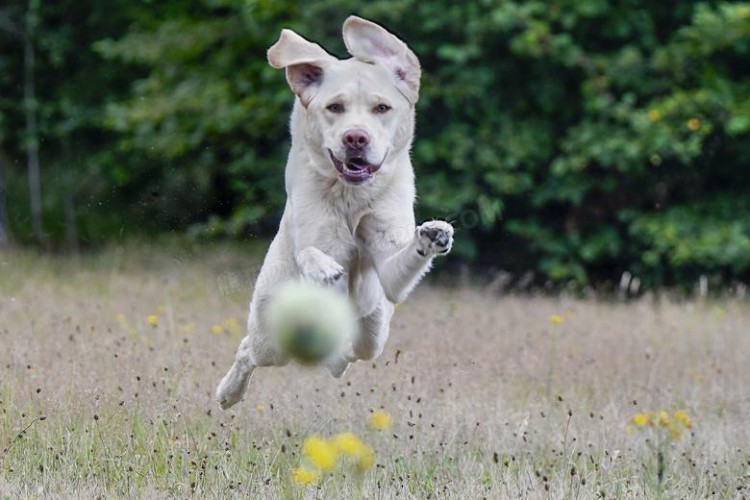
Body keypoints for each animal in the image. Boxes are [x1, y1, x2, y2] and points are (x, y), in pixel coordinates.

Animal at [214, 16, 456, 410]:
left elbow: (399, 260)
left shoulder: (389, 271)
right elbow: (312, 251)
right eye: (335, 108)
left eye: (382, 108)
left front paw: (433, 235)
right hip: (270, 333)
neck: (352, 196)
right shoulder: (315, 235)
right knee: (250, 348)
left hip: (374, 327)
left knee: (353, 351)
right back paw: (228, 393)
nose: (355, 138)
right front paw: (323, 266)